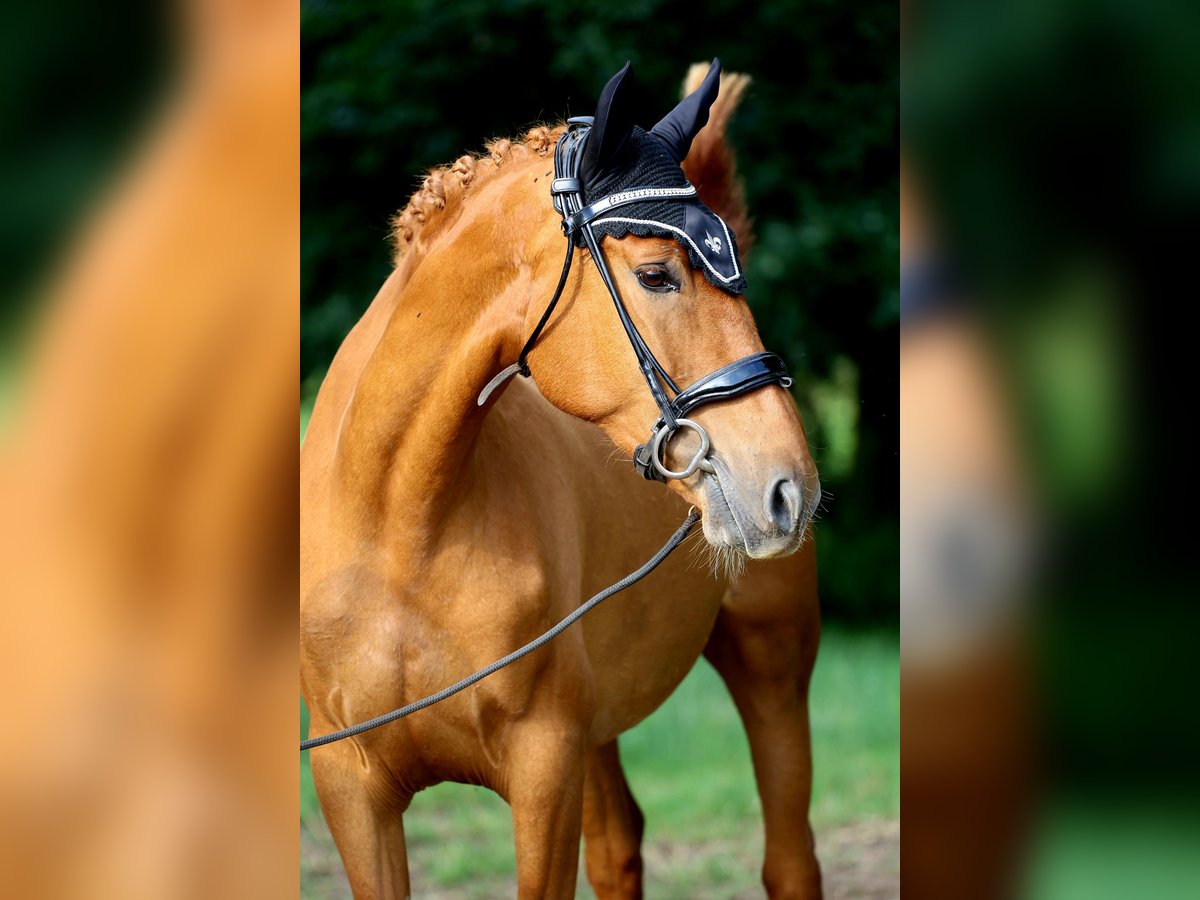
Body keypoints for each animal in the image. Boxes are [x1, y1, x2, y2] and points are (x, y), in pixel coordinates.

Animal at [302, 63, 825, 900]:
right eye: (656, 275)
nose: (789, 488)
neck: (398, 530)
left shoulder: (544, 770)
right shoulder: (351, 790)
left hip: (772, 660)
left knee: (789, 859)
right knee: (619, 848)